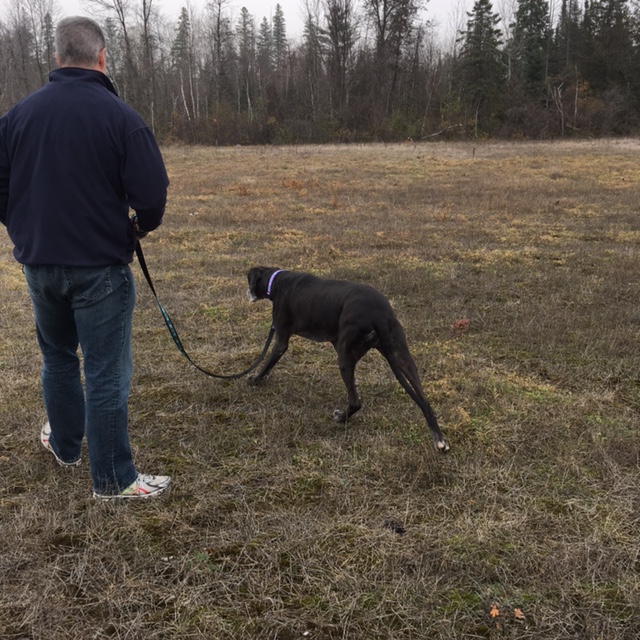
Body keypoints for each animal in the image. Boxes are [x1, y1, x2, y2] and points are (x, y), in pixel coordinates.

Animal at [247, 267, 449, 453]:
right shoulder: (336, 341)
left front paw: (255, 379)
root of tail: (379, 315)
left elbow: (268, 363)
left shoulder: (281, 340)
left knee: (355, 402)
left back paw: (341, 417)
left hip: (344, 358)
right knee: (425, 401)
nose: (247, 294)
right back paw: (439, 439)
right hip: (402, 356)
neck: (276, 280)